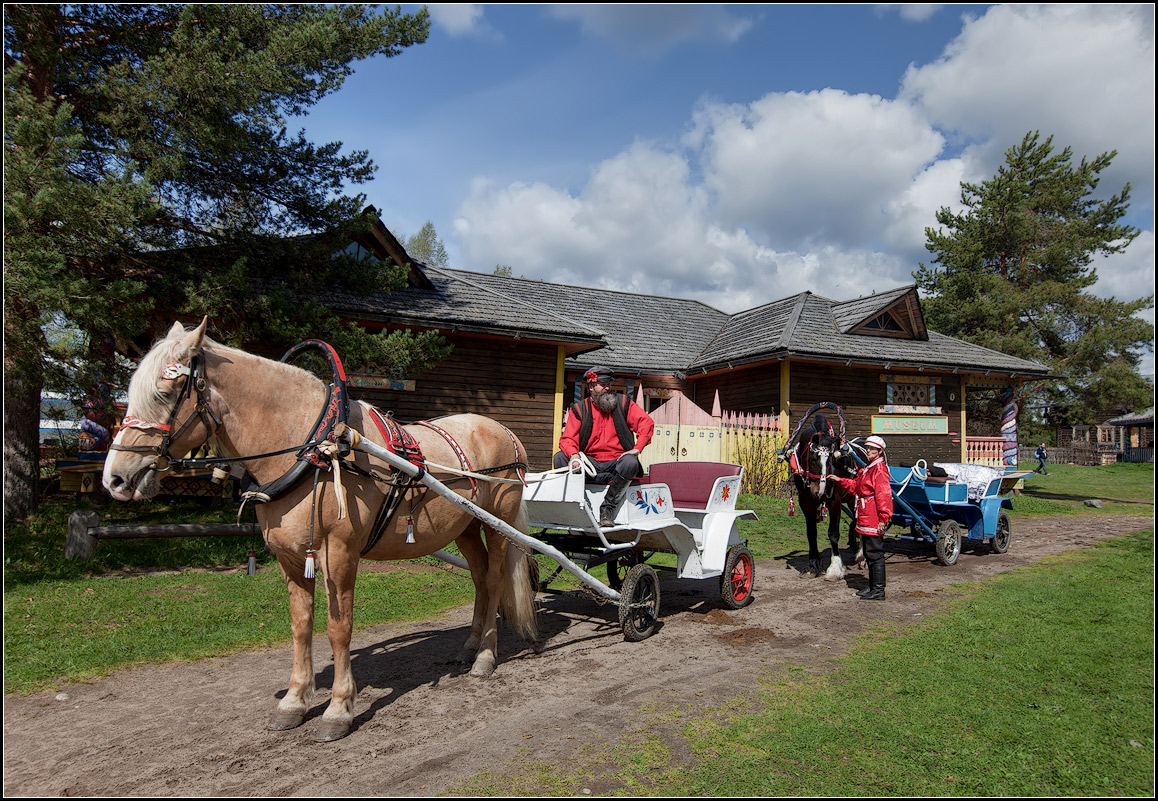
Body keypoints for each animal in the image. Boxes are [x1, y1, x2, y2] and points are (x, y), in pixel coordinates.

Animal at [104, 317, 537, 740]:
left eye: (165, 392)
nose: (116, 478)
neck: (313, 448)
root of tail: (505, 432)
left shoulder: (339, 554)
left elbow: (338, 627)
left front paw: (338, 708)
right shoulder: (291, 558)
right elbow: (301, 626)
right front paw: (294, 701)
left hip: (497, 524)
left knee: (494, 579)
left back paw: (485, 656)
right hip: (465, 526)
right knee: (479, 579)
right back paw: (469, 645)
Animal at [787, 416, 861, 578]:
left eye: (831, 460)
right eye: (813, 458)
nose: (819, 492)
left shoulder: (834, 501)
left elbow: (833, 533)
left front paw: (835, 568)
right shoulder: (805, 501)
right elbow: (811, 533)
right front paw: (813, 564)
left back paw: (861, 554)